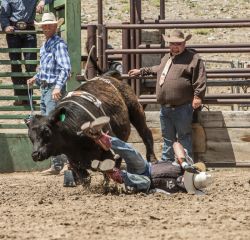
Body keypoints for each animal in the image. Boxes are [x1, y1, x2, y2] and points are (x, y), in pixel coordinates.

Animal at [24, 74, 156, 182]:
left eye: (46, 131)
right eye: (30, 136)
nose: (35, 154)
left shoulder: (109, 149)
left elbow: (109, 170)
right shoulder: (73, 159)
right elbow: (85, 178)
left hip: (135, 109)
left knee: (145, 133)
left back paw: (152, 159)